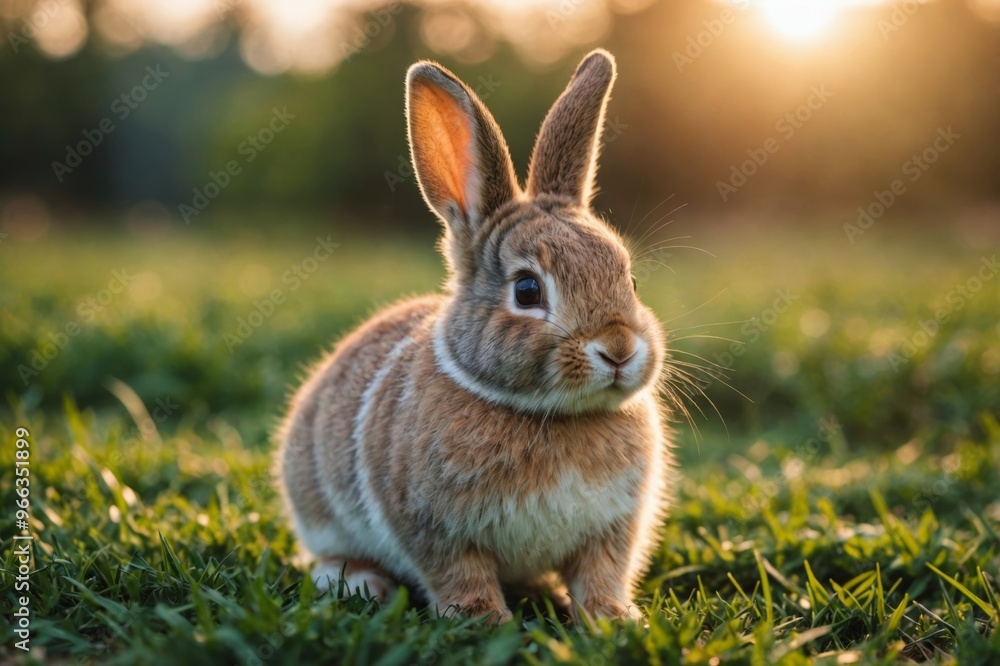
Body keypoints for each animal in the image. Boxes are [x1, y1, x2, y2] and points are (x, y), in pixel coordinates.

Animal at [277, 48, 672, 624]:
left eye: (631, 280)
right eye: (527, 290)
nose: (619, 349)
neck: (551, 415)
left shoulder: (611, 531)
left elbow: (600, 576)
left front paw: (612, 619)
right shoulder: (436, 530)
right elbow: (460, 575)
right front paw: (483, 621)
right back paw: (363, 583)